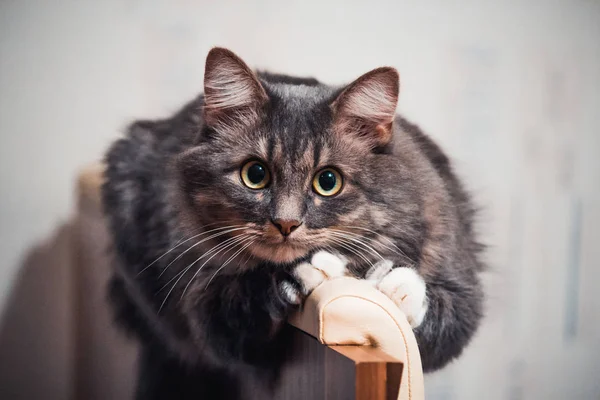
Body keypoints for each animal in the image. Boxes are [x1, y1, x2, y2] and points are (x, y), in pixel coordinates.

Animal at [103, 46, 486, 396]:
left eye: (328, 181)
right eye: (255, 175)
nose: (285, 223)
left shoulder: (460, 292)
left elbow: (437, 309)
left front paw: (392, 284)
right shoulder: (203, 305)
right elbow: (247, 300)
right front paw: (305, 270)